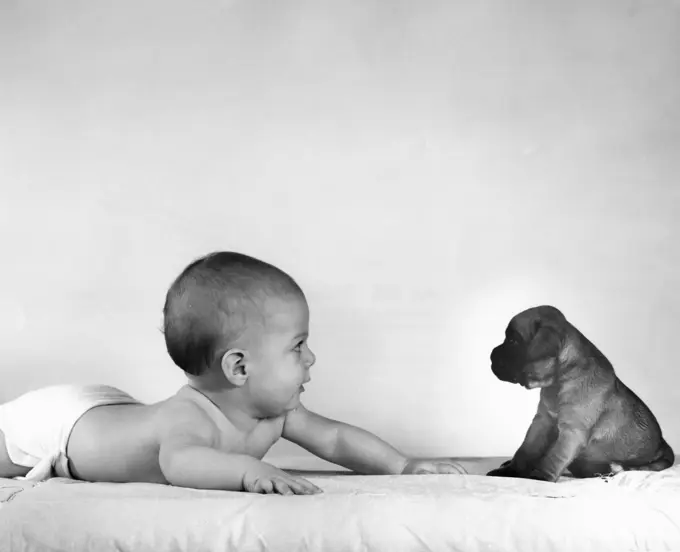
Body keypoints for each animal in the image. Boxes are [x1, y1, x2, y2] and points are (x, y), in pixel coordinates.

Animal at [486, 306, 672, 484]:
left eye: (513, 341)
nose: (491, 354)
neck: (559, 381)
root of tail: (665, 447)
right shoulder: (542, 422)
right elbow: (525, 450)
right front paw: (510, 470)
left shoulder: (572, 431)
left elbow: (554, 457)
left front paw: (539, 477)